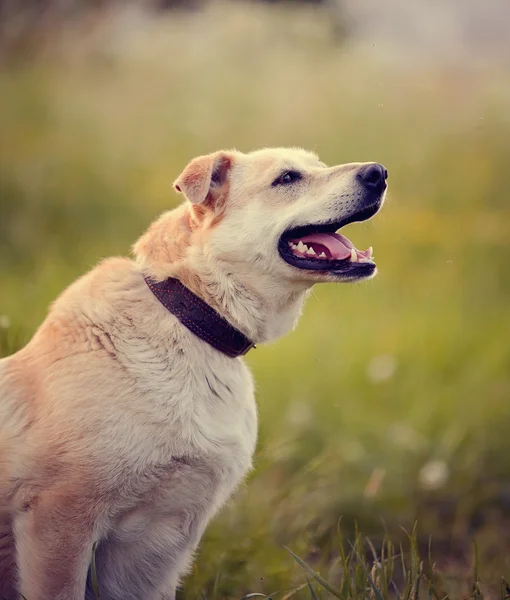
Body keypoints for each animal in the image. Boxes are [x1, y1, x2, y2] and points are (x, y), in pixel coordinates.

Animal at [0, 146, 386, 600]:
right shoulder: (60, 519)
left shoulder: (157, 546)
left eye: (319, 165)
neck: (190, 318)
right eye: (287, 178)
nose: (379, 173)